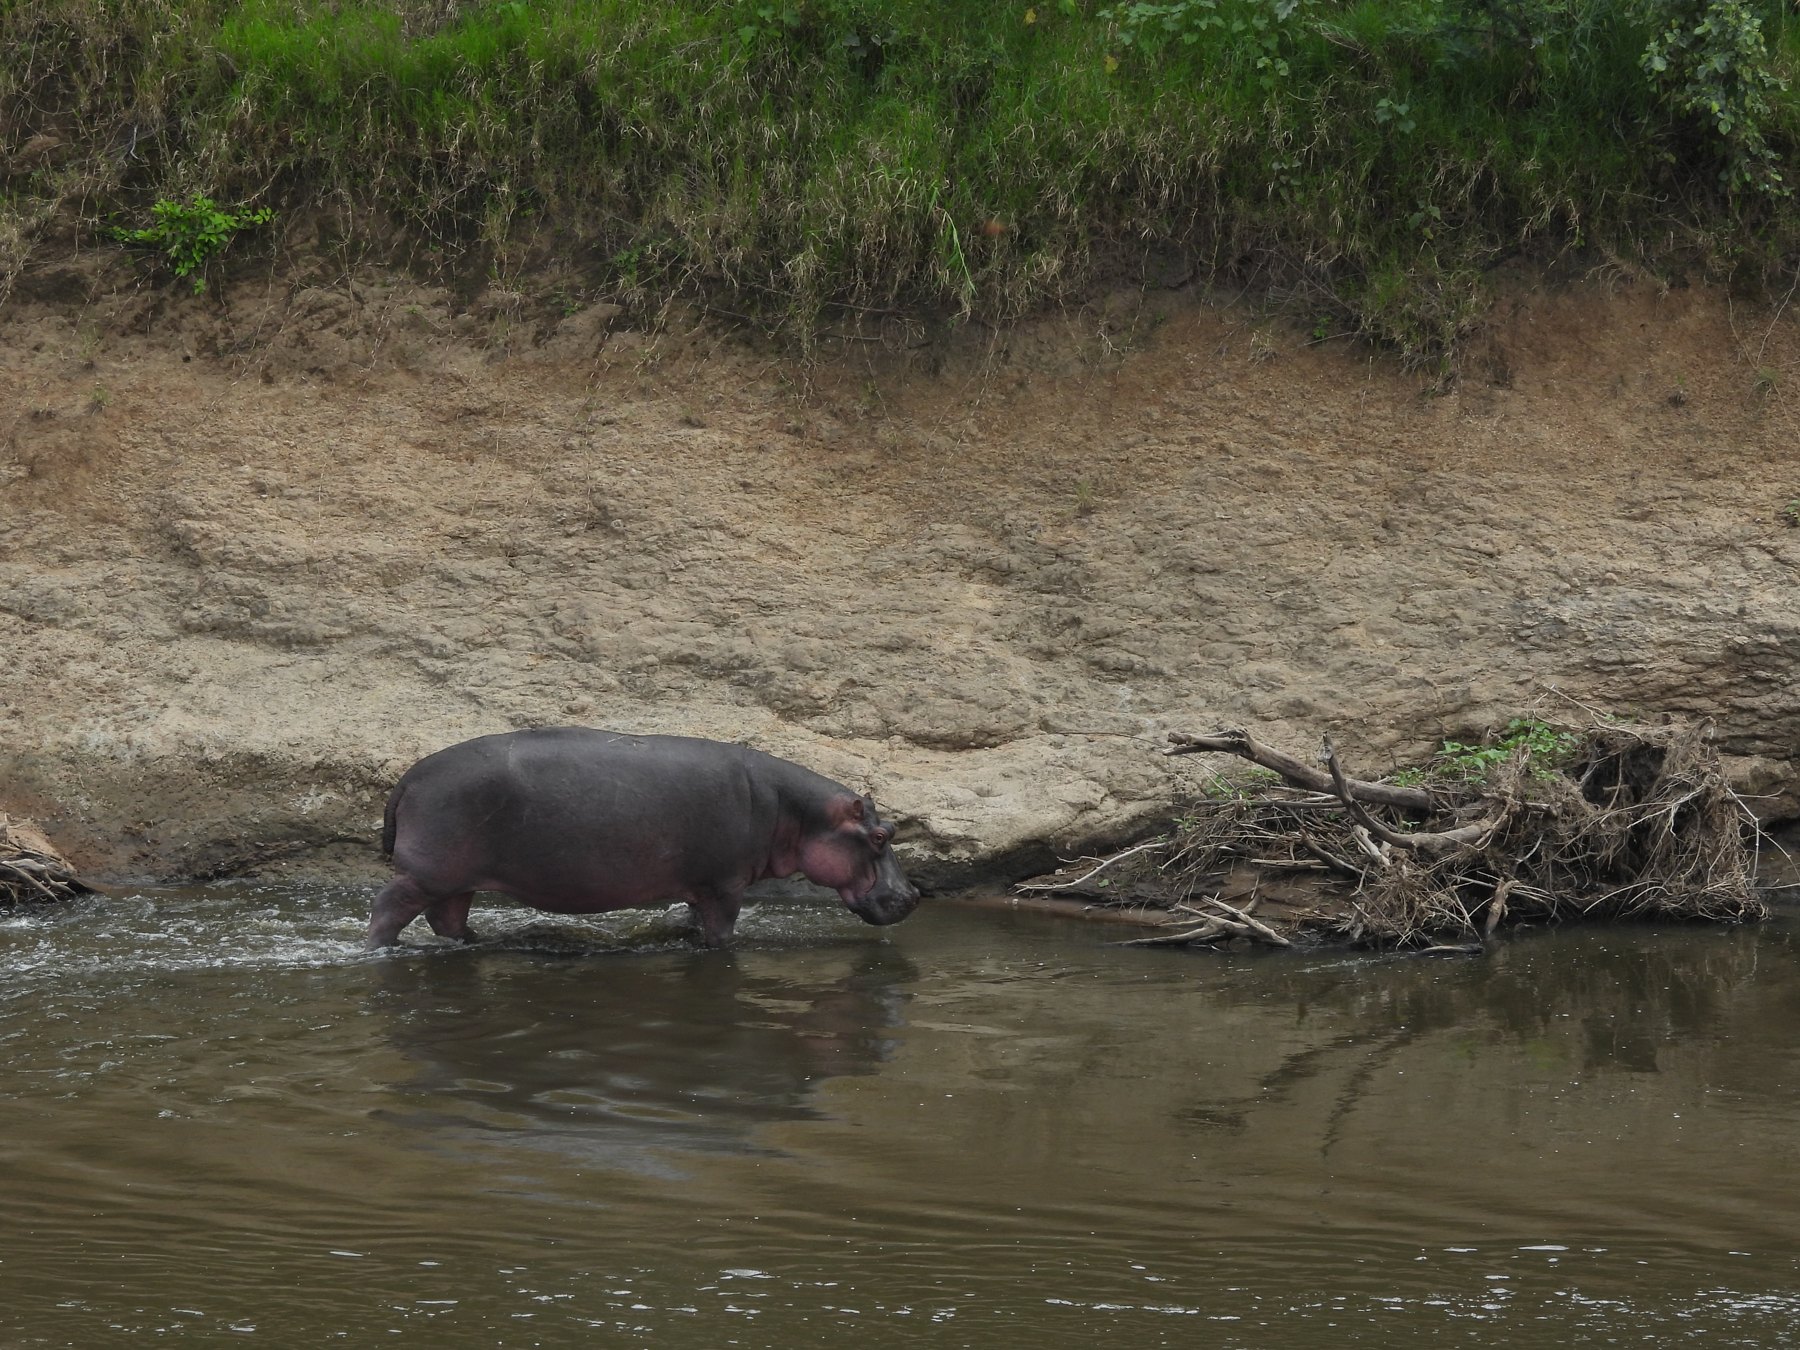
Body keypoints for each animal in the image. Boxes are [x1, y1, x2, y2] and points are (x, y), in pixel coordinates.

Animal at [367, 728, 920, 948]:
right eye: (880, 835)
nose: (914, 895)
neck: (797, 814)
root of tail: (408, 777)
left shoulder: (700, 886)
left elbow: (692, 918)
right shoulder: (725, 885)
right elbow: (721, 934)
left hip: (454, 879)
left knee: (447, 920)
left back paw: (475, 941)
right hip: (424, 874)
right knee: (386, 909)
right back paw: (380, 950)